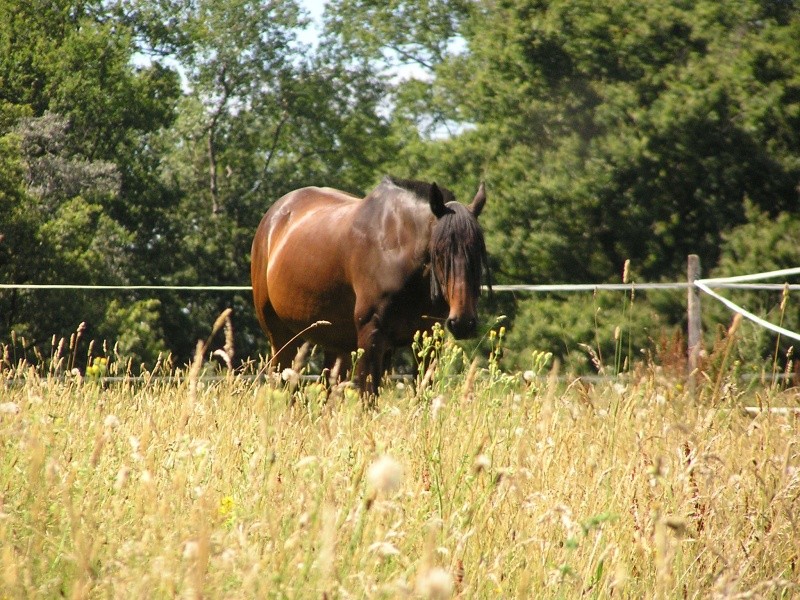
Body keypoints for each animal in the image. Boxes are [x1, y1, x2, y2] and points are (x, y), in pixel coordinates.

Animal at [252, 176, 488, 396]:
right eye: (439, 252)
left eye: (478, 251)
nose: (463, 323)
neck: (396, 251)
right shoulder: (371, 337)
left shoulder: (427, 339)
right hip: (280, 336)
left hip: (333, 342)